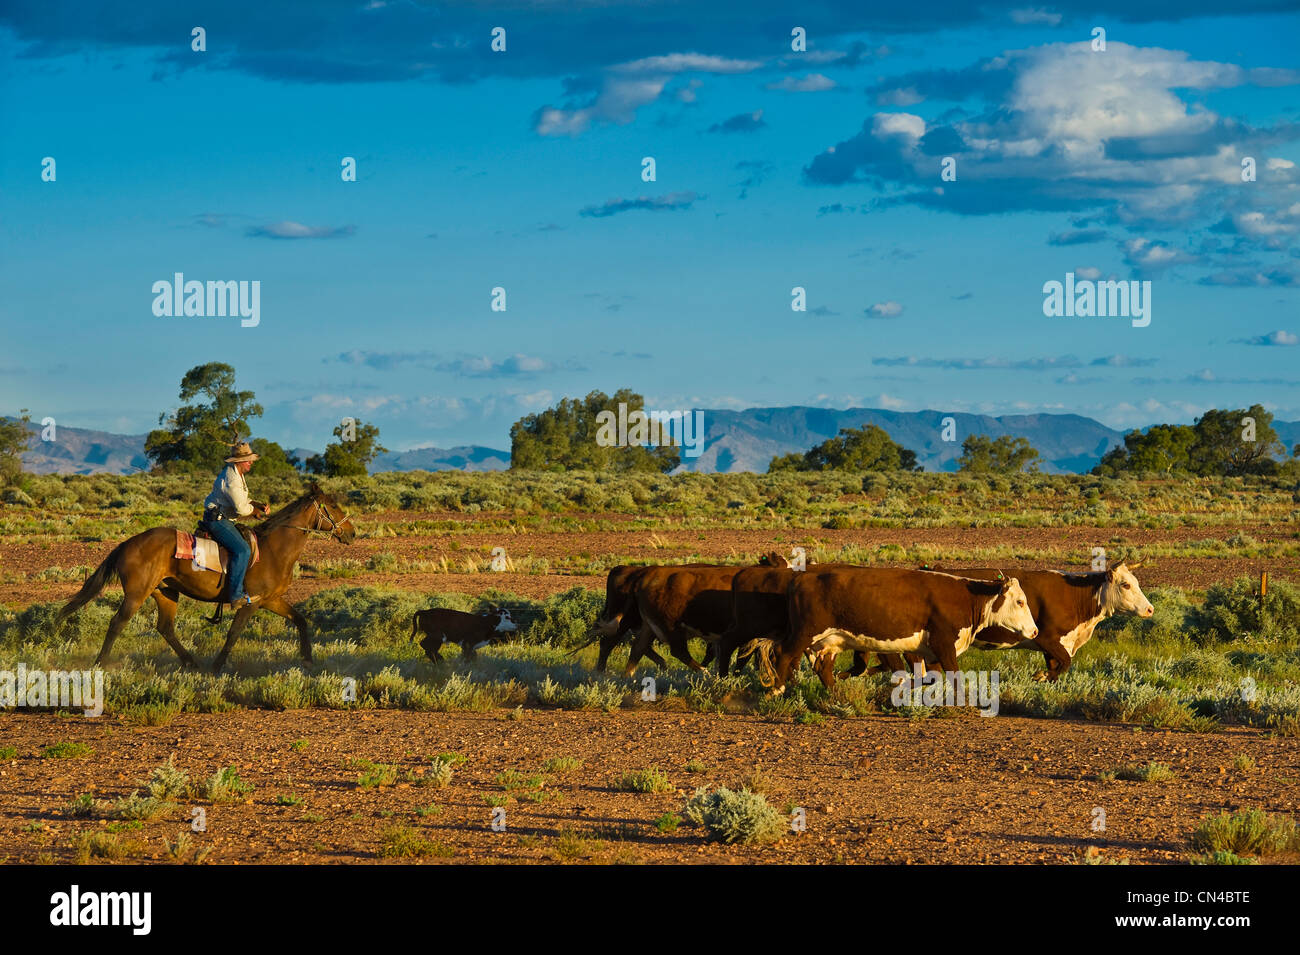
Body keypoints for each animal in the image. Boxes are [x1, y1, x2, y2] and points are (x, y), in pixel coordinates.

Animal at [54, 483, 356, 673]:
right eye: (332, 506)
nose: (352, 533)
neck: (273, 550)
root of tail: (128, 543)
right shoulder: (250, 603)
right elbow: (234, 633)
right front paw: (218, 666)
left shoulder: (270, 600)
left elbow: (301, 620)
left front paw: (308, 660)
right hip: (137, 594)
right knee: (117, 623)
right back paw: (100, 664)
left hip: (166, 592)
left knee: (165, 627)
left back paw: (191, 663)